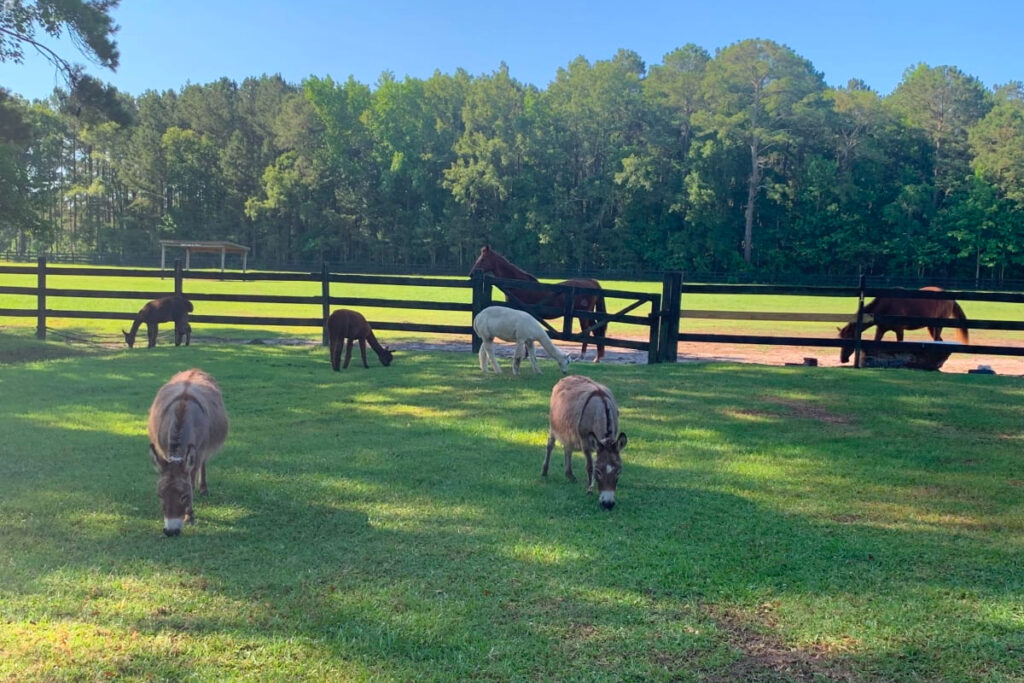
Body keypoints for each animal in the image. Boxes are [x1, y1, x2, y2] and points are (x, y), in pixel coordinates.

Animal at [147, 370, 229, 536]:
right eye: (160, 496)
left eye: (185, 496)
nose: (170, 532)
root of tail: (194, 370)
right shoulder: (164, 452)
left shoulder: (197, 454)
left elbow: (191, 478)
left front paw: (189, 516)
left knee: (203, 464)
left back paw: (203, 488)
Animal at [471, 245, 606, 362]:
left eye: (482, 259)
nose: (471, 274)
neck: (520, 286)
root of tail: (592, 282)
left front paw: (524, 355)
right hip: (589, 315)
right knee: (596, 331)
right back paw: (597, 357)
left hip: (583, 316)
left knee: (587, 332)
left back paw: (582, 356)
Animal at [835, 286, 970, 366]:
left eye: (848, 341)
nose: (843, 359)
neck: (886, 305)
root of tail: (950, 298)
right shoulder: (881, 329)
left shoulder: (900, 331)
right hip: (931, 327)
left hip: (938, 326)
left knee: (937, 341)